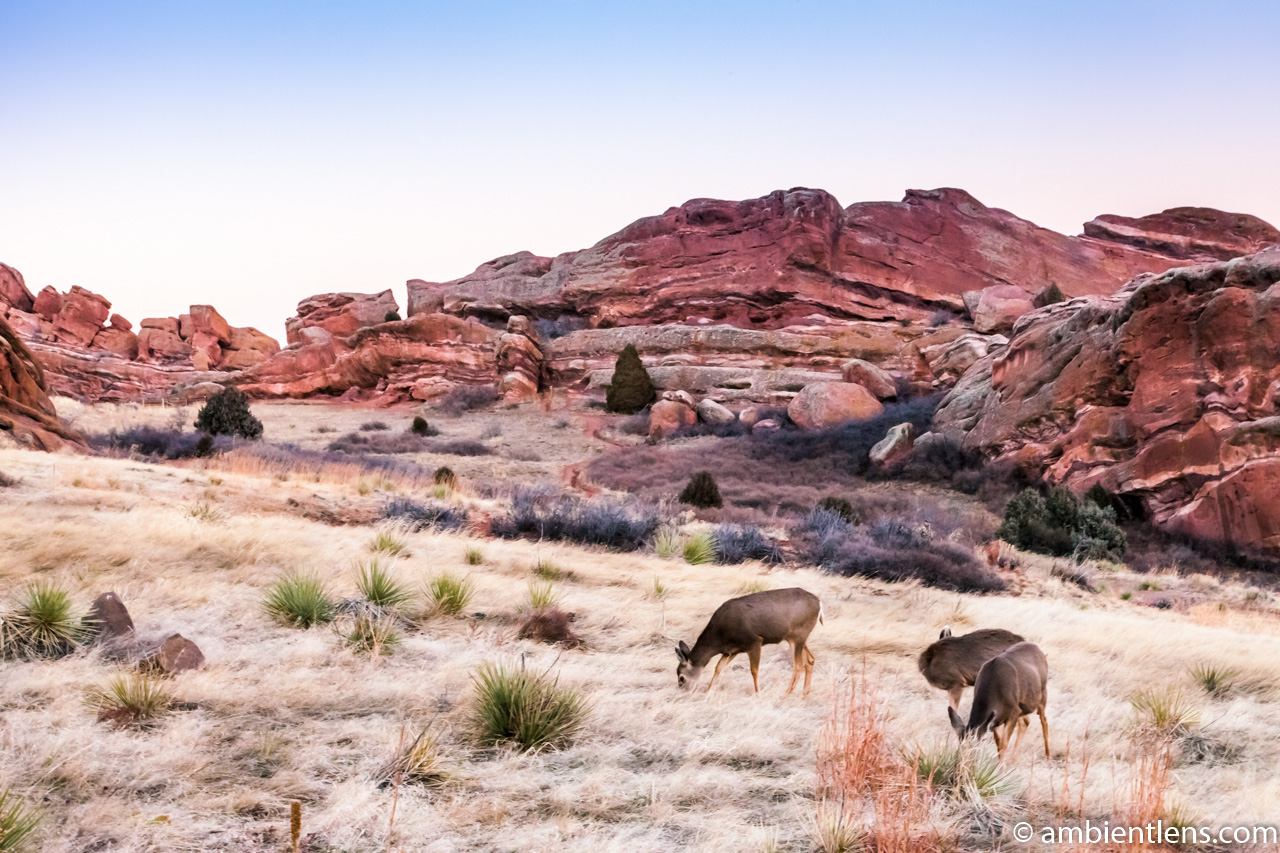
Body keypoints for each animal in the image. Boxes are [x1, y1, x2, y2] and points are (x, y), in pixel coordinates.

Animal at [675, 588, 822, 696]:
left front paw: (758, 694)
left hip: (798, 635)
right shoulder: (732, 650)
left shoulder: (754, 641)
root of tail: (819, 603)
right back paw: (805, 694)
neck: (719, 639)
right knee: (810, 660)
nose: (684, 693)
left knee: (799, 665)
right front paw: (708, 690)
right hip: (797, 638)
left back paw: (787, 693)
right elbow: (718, 668)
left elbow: (754, 670)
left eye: (681, 677)